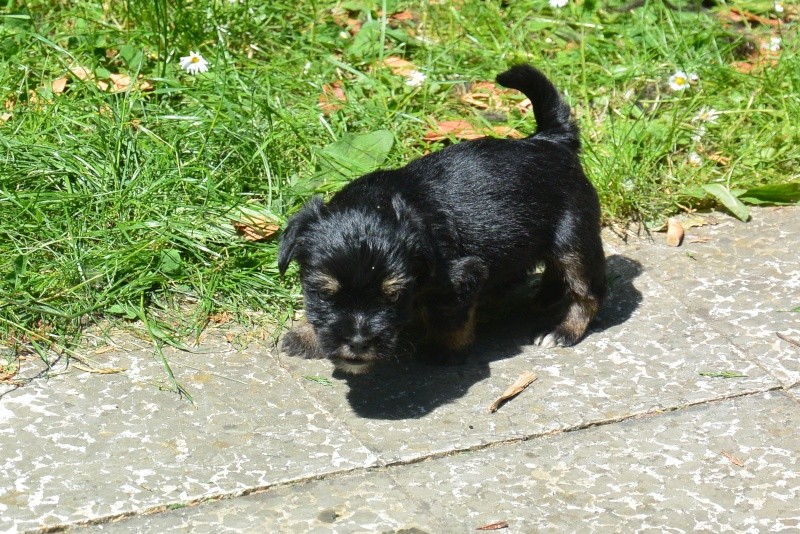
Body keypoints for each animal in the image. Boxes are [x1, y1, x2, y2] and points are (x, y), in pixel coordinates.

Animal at [278, 65, 604, 376]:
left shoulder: (462, 275)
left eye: (393, 296)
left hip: (573, 238)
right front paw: (305, 334)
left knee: (587, 292)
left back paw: (563, 331)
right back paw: (544, 298)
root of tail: (551, 140)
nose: (358, 343)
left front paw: (442, 349)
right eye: (324, 294)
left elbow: (449, 317)